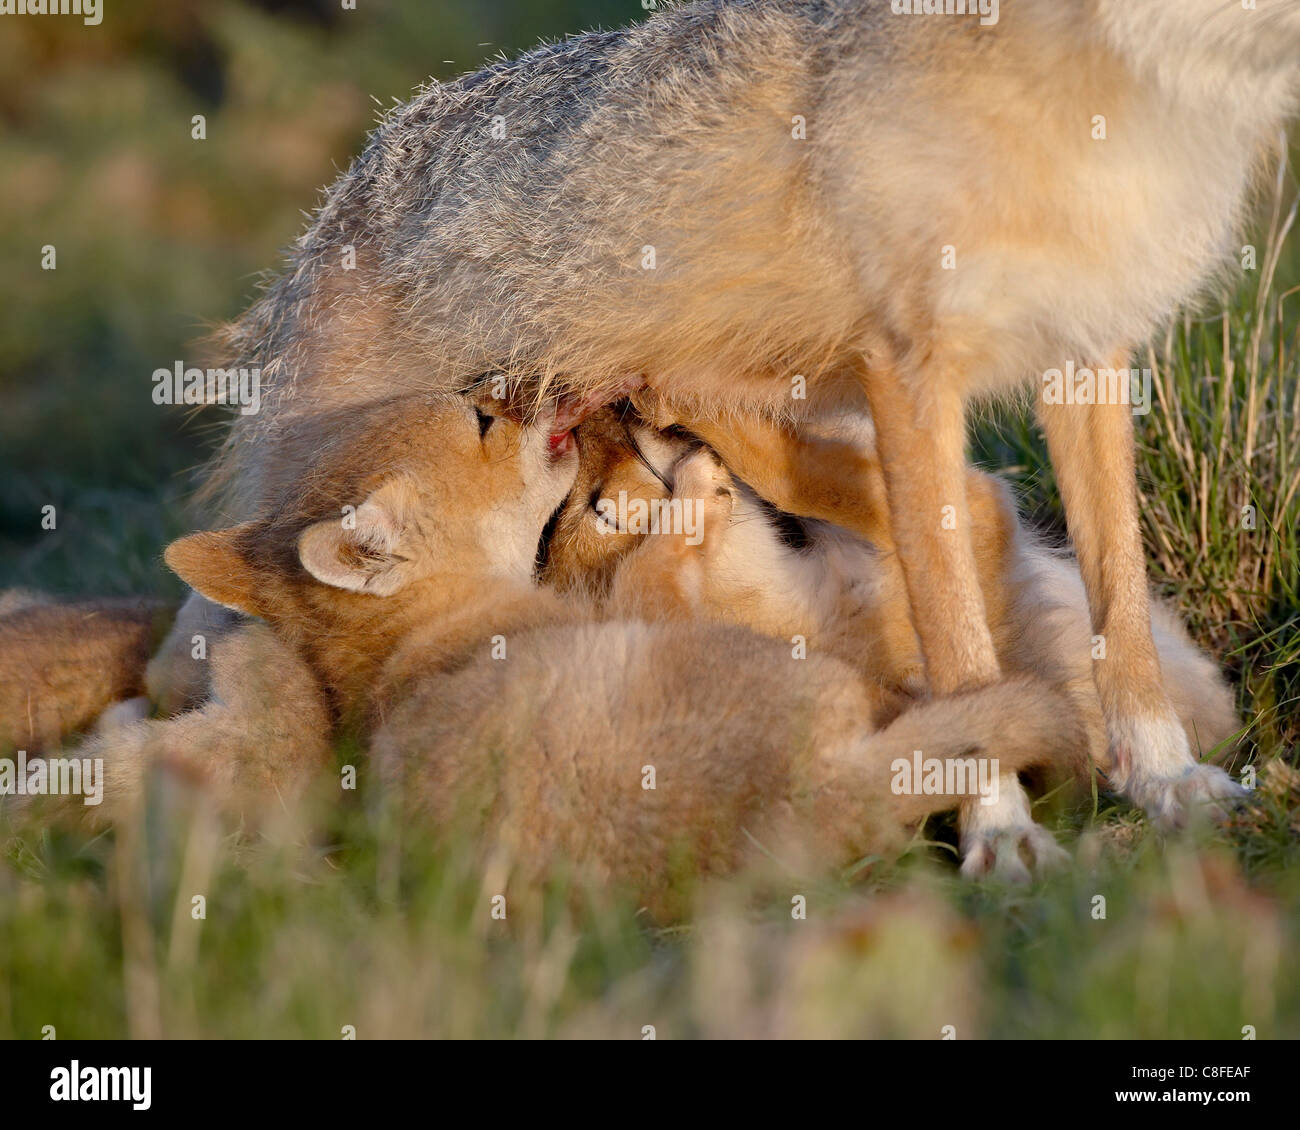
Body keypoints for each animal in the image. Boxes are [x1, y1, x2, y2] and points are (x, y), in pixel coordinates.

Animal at [67, 393, 1081, 915]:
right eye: (481, 422)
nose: (509, 380)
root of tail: (802, 799)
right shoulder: (652, 600)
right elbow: (708, 526)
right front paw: (703, 469)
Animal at [153, 0, 1295, 872]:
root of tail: (338, 204)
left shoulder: (1088, 347)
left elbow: (1121, 604)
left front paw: (1161, 775)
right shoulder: (909, 374)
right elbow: (962, 649)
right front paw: (998, 827)